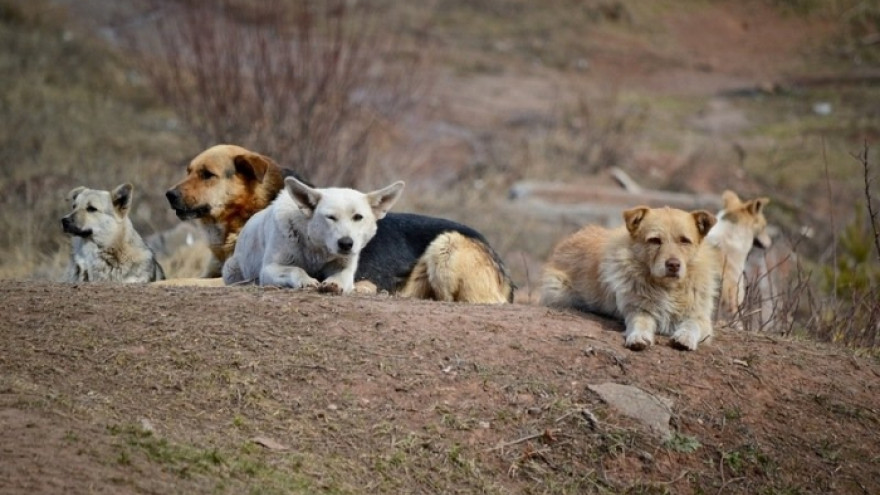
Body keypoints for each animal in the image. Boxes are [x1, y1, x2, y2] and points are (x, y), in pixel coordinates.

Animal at [225, 176, 408, 292]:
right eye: (331, 217)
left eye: (358, 217)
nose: (346, 243)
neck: (316, 249)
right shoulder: (269, 268)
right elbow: (296, 269)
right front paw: (306, 281)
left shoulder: (345, 267)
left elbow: (342, 277)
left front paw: (334, 284)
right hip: (230, 269)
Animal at [540, 205, 720, 352]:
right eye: (655, 240)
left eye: (684, 241)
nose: (673, 265)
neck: (667, 288)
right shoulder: (637, 309)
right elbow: (640, 323)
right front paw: (638, 337)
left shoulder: (701, 317)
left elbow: (692, 325)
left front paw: (685, 337)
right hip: (558, 291)